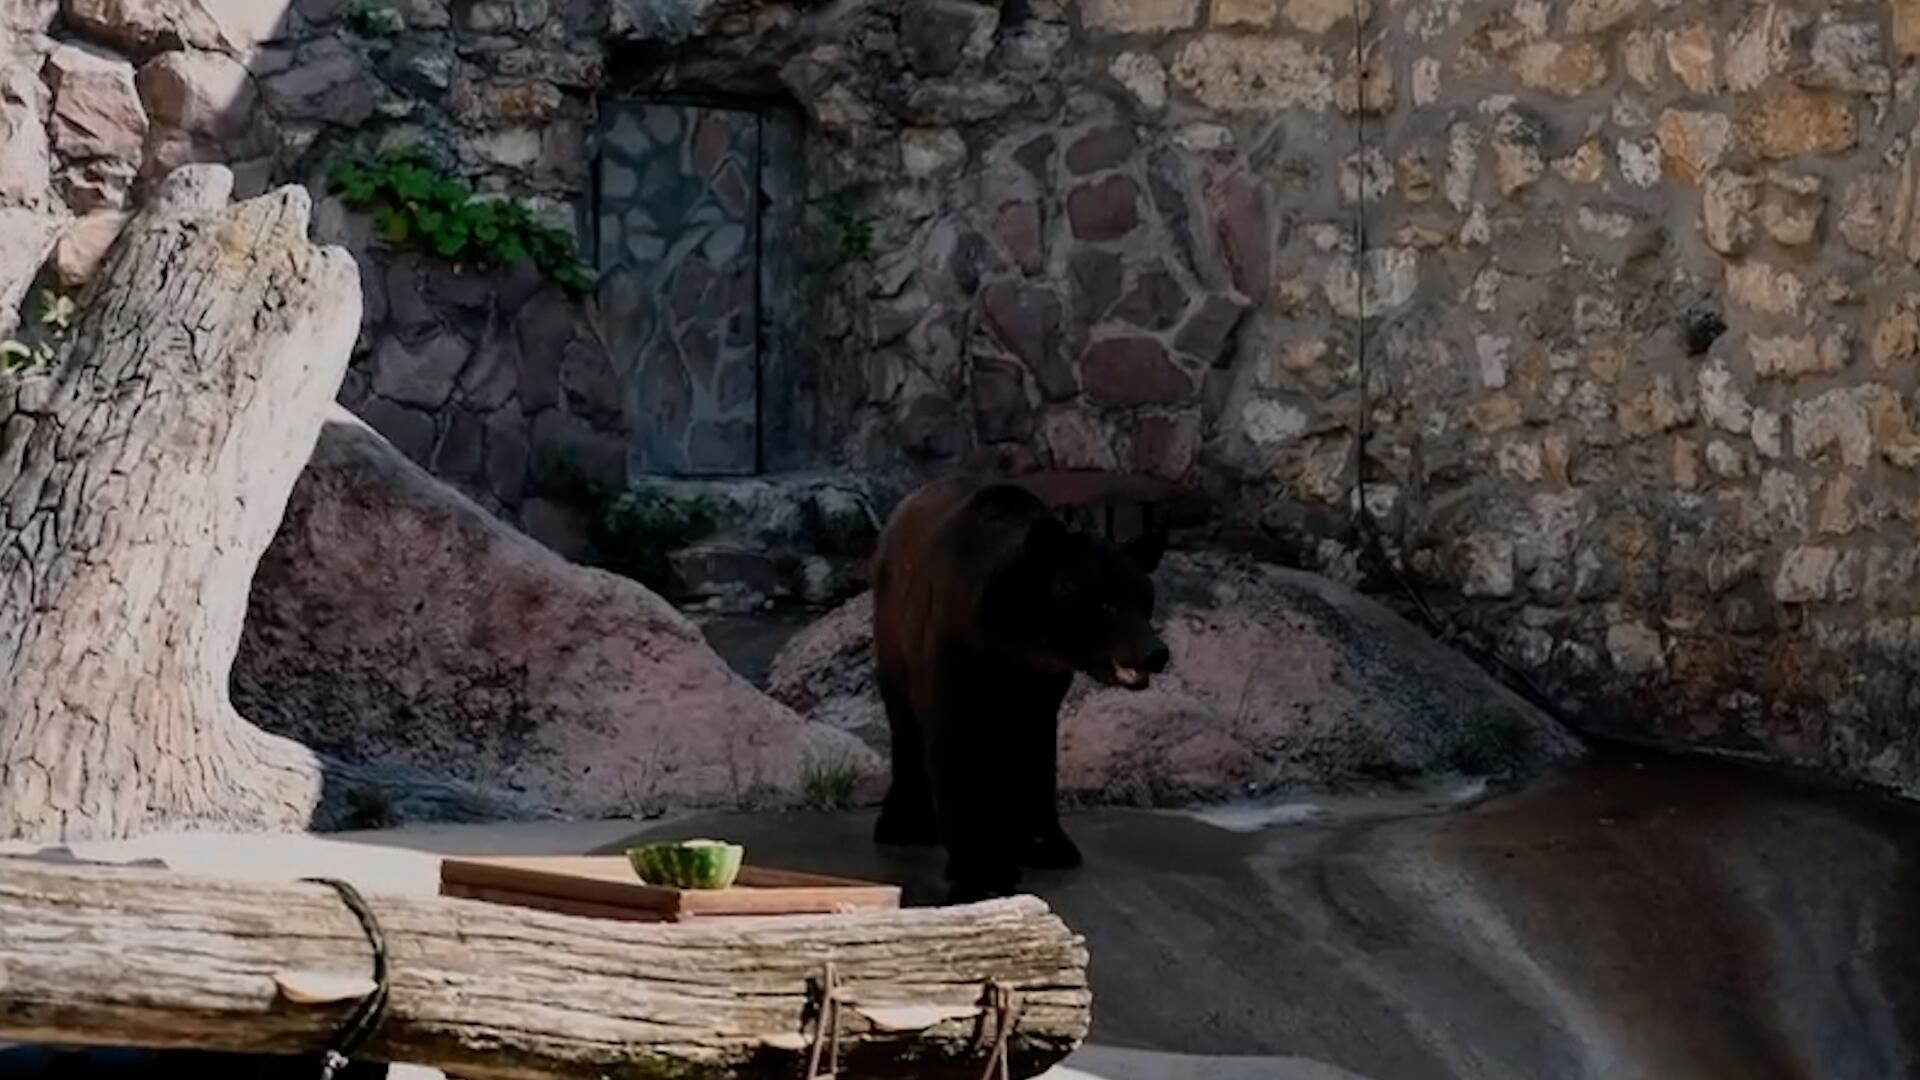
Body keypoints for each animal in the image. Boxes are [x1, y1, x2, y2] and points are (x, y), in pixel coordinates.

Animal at [868, 476, 1170, 904]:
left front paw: (1048, 845)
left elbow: (1035, 750)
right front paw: (983, 868)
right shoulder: (954, 648)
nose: (1155, 652)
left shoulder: (1038, 684)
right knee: (904, 723)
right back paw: (903, 824)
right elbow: (953, 744)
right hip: (893, 629)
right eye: (1106, 604)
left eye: (1145, 600)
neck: (1016, 637)